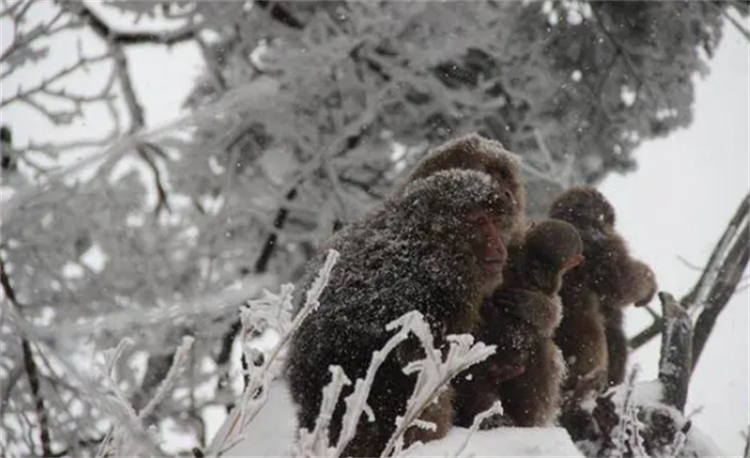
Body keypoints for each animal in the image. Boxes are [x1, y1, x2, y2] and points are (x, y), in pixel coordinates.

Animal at [452, 220, 588, 428]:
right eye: (532, 259)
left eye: (548, 267)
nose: (534, 270)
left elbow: (550, 316)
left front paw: (531, 306)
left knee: (542, 349)